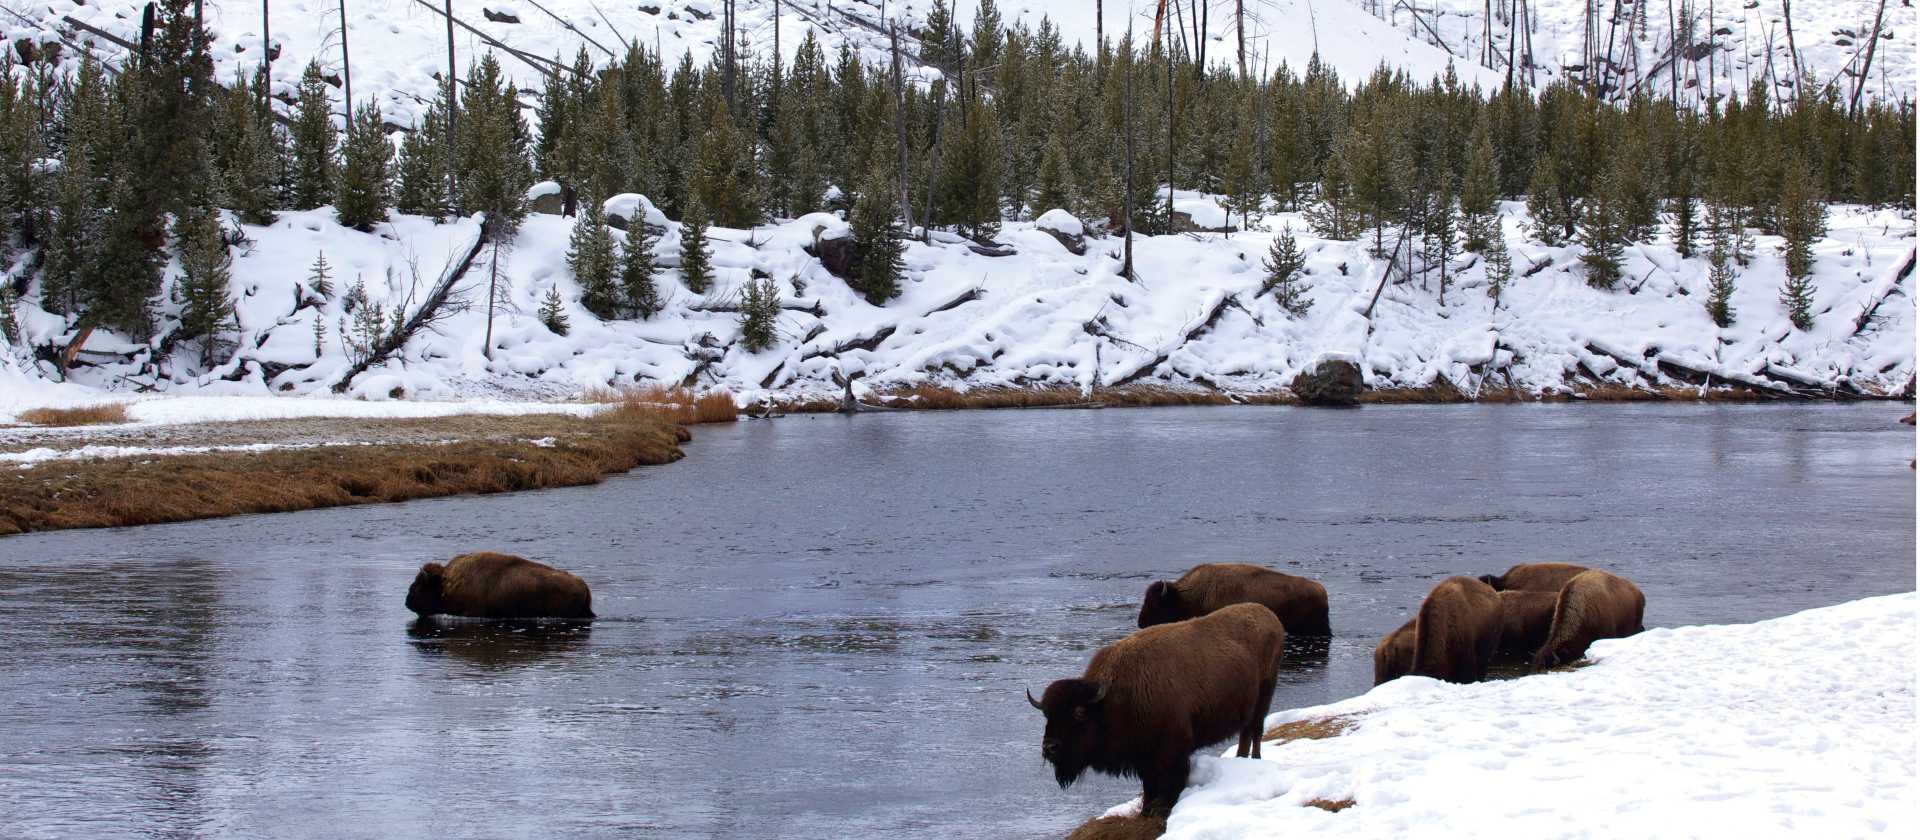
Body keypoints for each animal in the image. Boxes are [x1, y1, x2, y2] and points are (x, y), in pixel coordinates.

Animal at [1030, 602, 1286, 818]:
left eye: (1079, 712)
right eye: (1047, 714)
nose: (1049, 748)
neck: (1114, 697)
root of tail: (1270, 616)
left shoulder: (1171, 751)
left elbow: (1170, 781)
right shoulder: (1144, 756)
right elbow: (1149, 785)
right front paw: (1146, 811)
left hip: (1264, 698)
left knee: (1256, 732)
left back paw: (1255, 760)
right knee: (1246, 734)